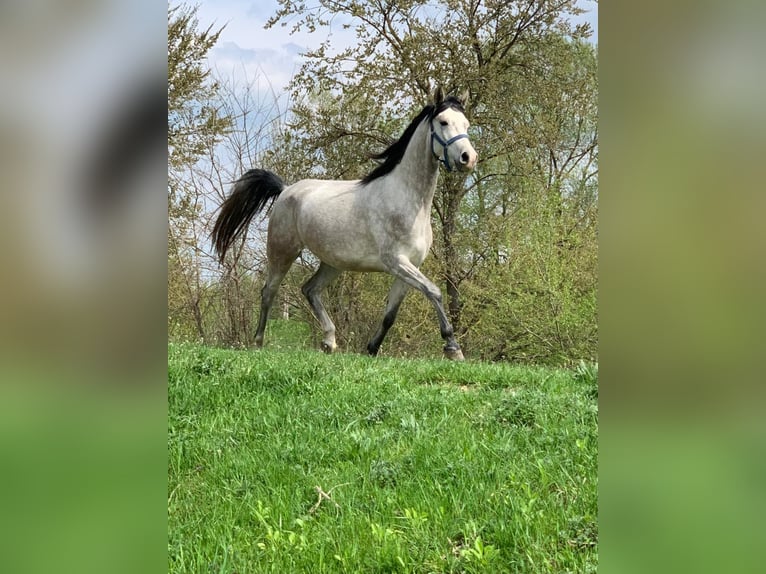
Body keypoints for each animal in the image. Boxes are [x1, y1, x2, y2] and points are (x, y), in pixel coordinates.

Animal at [214, 86, 480, 360]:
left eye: (466, 124)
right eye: (443, 121)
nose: (469, 158)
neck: (409, 200)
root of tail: (286, 190)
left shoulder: (409, 266)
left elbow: (391, 314)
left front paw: (372, 350)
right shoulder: (396, 262)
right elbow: (434, 291)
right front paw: (453, 348)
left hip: (333, 263)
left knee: (309, 289)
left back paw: (329, 341)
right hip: (282, 252)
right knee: (269, 292)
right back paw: (258, 341)